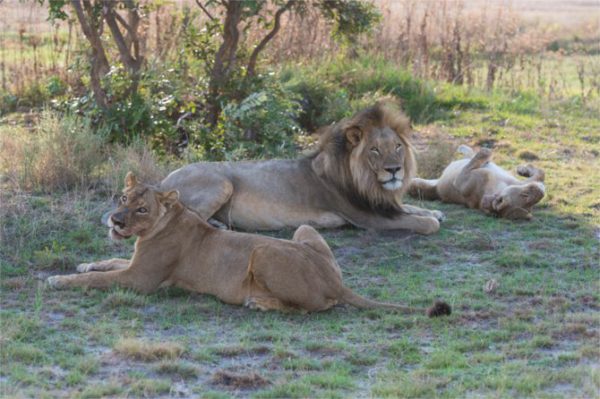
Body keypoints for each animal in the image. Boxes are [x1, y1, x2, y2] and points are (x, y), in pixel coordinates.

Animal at [47, 173, 450, 318]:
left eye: (141, 208)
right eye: (123, 198)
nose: (115, 221)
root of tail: (336, 282)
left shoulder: (141, 281)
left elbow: (98, 280)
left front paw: (59, 280)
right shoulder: (134, 266)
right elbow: (106, 262)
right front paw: (84, 264)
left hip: (264, 250)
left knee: (313, 307)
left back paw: (259, 302)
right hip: (303, 230)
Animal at [159, 100, 440, 236]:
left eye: (397, 147)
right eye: (375, 150)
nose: (395, 170)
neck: (368, 182)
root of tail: (163, 181)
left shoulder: (383, 203)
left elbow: (411, 208)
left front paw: (434, 211)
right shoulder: (367, 217)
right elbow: (420, 222)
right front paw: (430, 219)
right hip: (221, 183)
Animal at [408, 146, 544, 220]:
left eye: (531, 203)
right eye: (525, 195)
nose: (541, 192)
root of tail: (436, 188)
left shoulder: (460, 180)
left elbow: (482, 154)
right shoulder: (518, 181)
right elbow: (541, 174)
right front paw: (523, 169)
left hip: (419, 185)